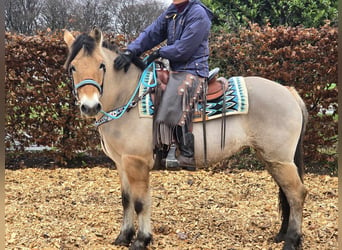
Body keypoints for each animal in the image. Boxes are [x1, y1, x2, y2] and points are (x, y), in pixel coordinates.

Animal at [63, 28, 308, 249]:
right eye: (73, 67)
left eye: (101, 65)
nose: (90, 106)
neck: (129, 97)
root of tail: (288, 91)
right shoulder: (121, 163)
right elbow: (126, 200)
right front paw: (124, 237)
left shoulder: (137, 163)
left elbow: (141, 202)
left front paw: (142, 240)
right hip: (272, 159)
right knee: (287, 193)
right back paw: (282, 235)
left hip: (280, 159)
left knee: (297, 194)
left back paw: (291, 240)